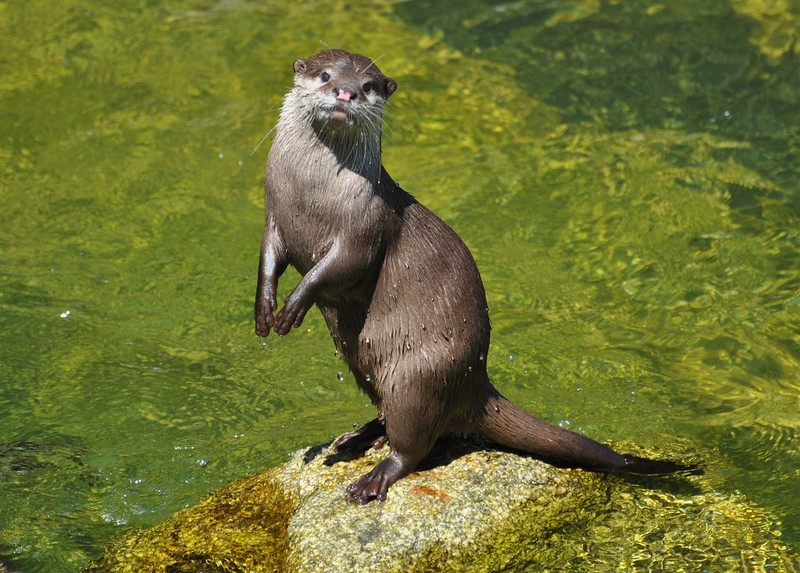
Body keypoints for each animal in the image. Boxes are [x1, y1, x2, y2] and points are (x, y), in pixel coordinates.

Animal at [255, 50, 692, 504]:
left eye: (368, 85)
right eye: (325, 74)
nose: (345, 92)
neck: (311, 195)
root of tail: (475, 383)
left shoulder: (365, 224)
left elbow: (339, 268)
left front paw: (293, 307)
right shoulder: (273, 215)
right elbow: (269, 255)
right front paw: (265, 309)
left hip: (418, 376)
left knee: (412, 444)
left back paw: (373, 477)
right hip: (366, 366)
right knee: (385, 411)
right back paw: (356, 438)